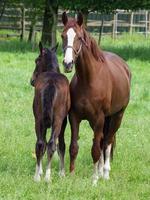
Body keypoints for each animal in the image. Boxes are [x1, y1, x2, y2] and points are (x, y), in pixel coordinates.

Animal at [30, 42, 70, 183]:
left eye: (36, 60)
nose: (32, 81)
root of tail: (51, 83)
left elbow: (44, 142)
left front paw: (40, 171)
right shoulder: (63, 122)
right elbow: (61, 145)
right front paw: (62, 172)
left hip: (39, 120)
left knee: (40, 143)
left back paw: (37, 176)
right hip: (57, 121)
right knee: (52, 143)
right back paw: (47, 176)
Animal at [61, 12, 131, 184]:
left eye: (79, 37)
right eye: (62, 36)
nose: (67, 63)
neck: (89, 81)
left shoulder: (99, 118)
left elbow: (95, 149)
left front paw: (93, 180)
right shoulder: (74, 117)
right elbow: (74, 147)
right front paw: (72, 174)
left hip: (117, 116)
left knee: (107, 141)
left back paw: (104, 173)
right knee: (102, 141)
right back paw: (100, 171)